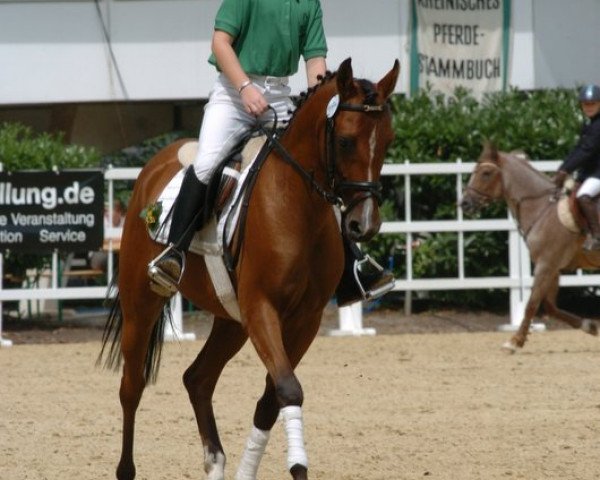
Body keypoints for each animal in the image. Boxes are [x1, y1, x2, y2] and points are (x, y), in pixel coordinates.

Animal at [97, 59, 398, 480]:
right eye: (345, 141)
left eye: (387, 142)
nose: (363, 225)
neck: (297, 205)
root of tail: (156, 163)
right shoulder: (262, 308)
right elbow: (288, 389)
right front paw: (298, 464)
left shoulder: (304, 320)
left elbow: (273, 399)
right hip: (142, 303)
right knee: (132, 386)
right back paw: (126, 468)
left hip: (231, 321)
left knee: (198, 379)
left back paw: (216, 461)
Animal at [462, 143, 596, 352]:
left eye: (486, 173)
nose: (464, 203)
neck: (542, 207)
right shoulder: (553, 267)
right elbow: (550, 307)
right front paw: (589, 325)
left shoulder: (545, 265)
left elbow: (531, 304)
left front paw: (514, 341)